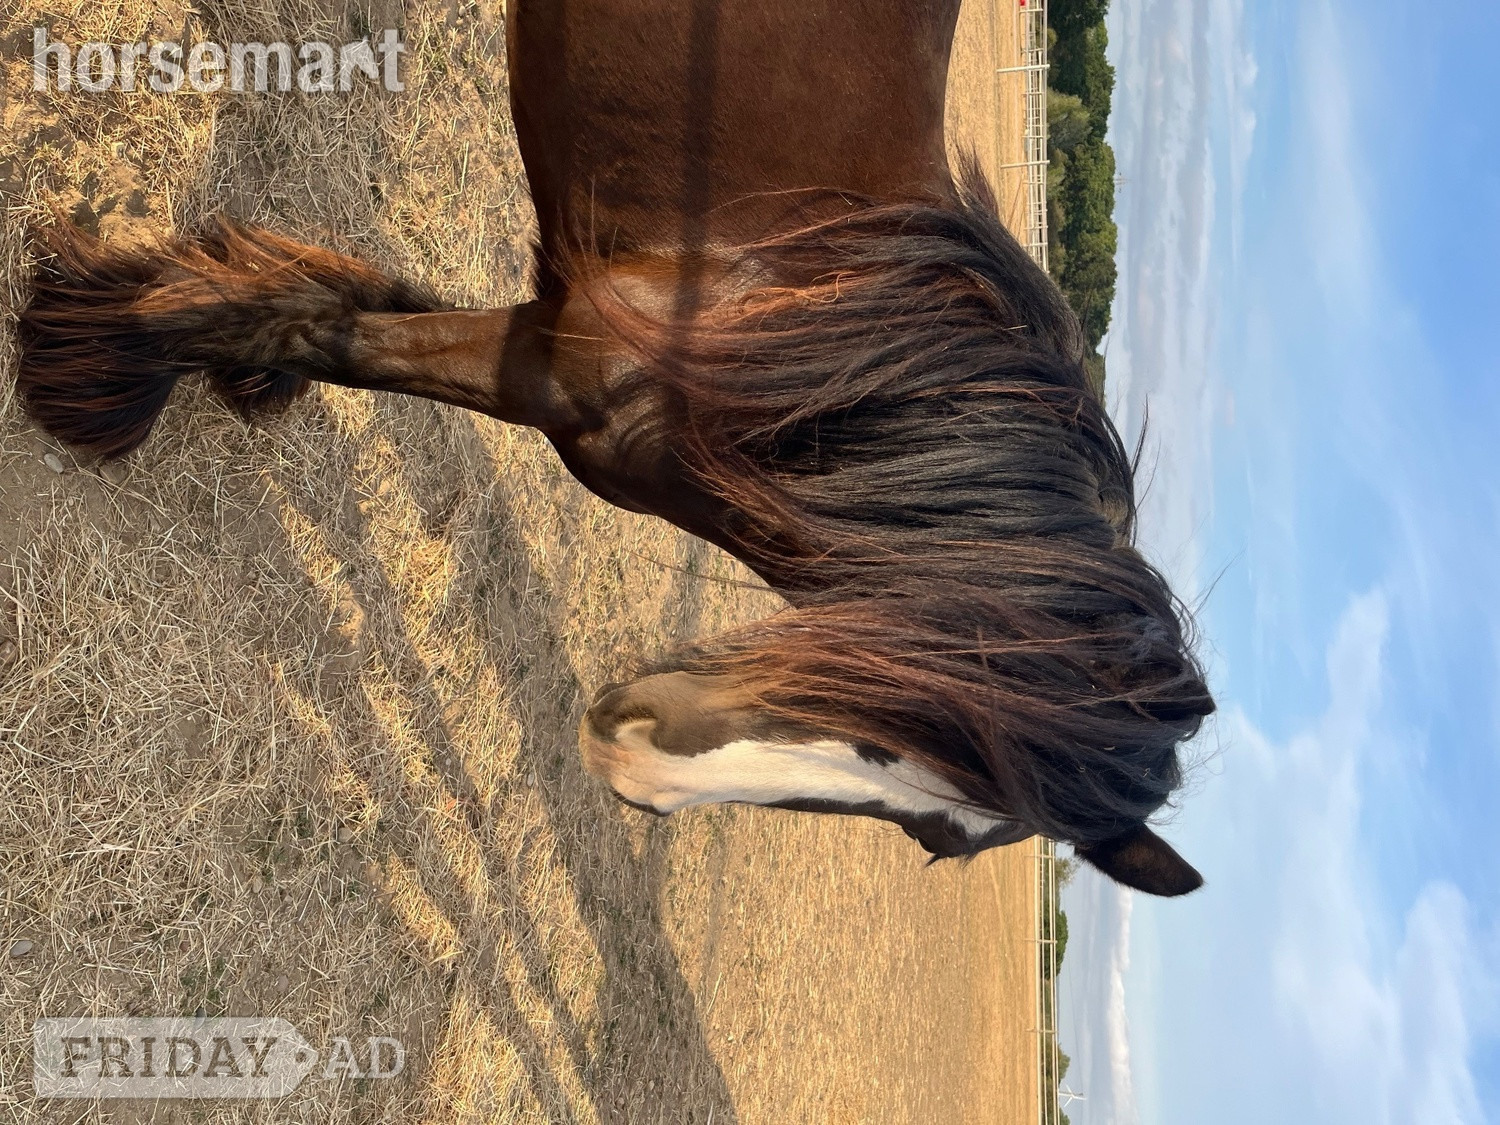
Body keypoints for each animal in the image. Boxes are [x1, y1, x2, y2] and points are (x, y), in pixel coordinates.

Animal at [14, 0, 1215, 895]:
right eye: (939, 713)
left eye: (932, 834)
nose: (635, 762)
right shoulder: (552, 368)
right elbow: (325, 329)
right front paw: (100, 356)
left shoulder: (539, 328)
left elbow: (345, 305)